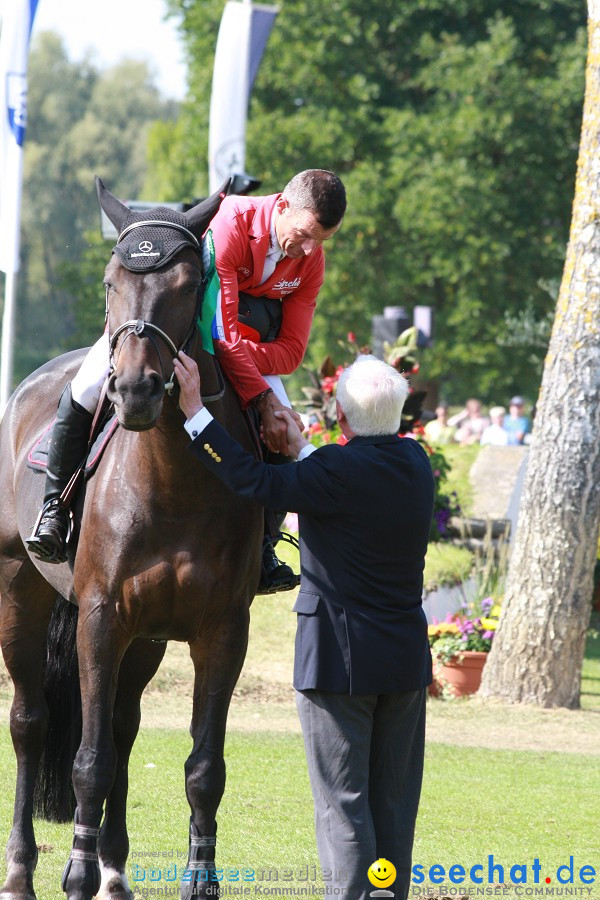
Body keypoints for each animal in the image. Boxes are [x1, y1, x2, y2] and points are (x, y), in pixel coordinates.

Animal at [0, 179, 262, 896]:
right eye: (111, 281)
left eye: (186, 284)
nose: (137, 389)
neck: (171, 482)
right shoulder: (100, 619)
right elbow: (88, 760)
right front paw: (75, 872)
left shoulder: (221, 631)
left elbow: (204, 767)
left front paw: (200, 878)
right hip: (20, 594)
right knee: (31, 722)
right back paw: (22, 869)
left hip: (146, 639)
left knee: (123, 725)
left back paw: (116, 870)